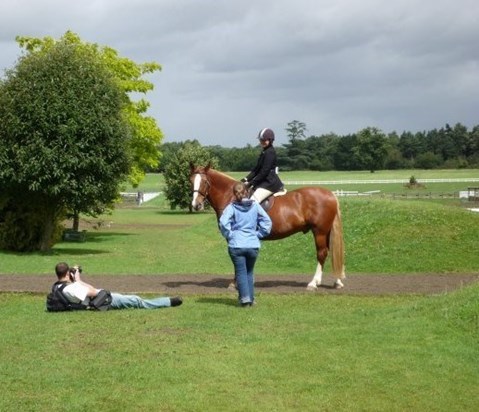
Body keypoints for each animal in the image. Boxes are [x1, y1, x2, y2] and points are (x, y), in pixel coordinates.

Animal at [190, 165, 344, 290]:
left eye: (205, 182)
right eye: (191, 181)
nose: (196, 205)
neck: (231, 197)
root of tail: (330, 194)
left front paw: (235, 283)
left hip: (319, 232)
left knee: (322, 253)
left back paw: (313, 283)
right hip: (326, 232)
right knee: (330, 252)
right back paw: (336, 282)